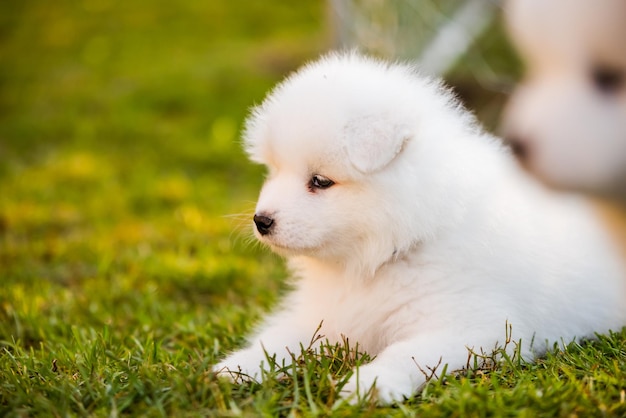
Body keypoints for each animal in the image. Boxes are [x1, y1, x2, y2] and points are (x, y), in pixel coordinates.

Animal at [213, 51, 624, 402]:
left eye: (320, 181)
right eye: (273, 170)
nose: (261, 221)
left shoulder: (475, 328)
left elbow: (404, 353)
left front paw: (369, 385)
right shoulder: (327, 316)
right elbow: (282, 339)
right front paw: (239, 366)